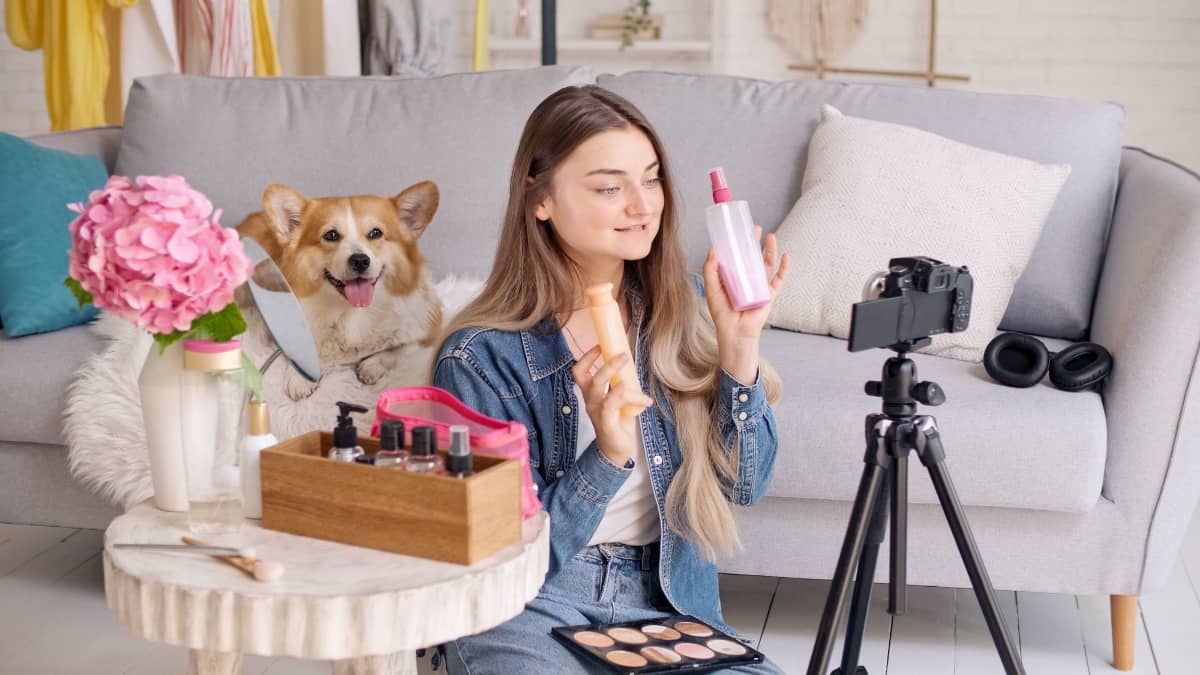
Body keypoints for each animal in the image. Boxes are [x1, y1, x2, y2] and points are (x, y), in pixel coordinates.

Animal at [234, 181, 441, 396]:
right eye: (331, 235)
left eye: (376, 233)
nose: (360, 260)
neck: (353, 313)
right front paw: (300, 378)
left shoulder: (429, 330)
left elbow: (399, 350)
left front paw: (372, 366)